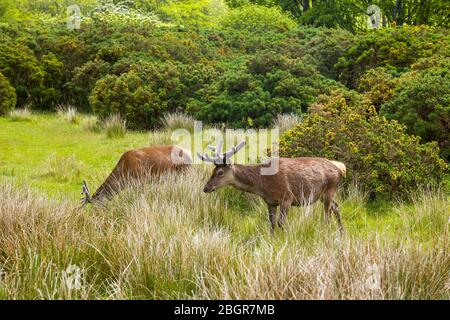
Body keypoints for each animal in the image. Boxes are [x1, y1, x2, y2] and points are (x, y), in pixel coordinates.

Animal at [199, 141, 346, 234]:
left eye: (220, 172)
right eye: (212, 170)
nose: (206, 188)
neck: (263, 186)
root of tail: (340, 168)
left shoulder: (287, 197)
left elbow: (281, 223)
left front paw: (287, 237)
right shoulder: (270, 202)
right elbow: (272, 224)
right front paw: (272, 238)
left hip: (329, 189)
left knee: (327, 213)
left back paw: (325, 231)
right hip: (322, 194)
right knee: (336, 206)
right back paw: (342, 232)